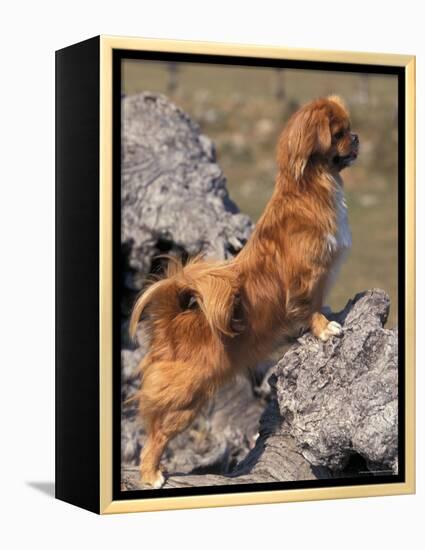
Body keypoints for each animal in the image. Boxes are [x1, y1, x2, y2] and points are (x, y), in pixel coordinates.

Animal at [129, 96, 358, 492]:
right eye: (340, 133)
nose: (357, 137)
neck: (311, 188)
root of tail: (172, 324)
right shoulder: (308, 276)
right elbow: (310, 305)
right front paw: (323, 328)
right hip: (187, 400)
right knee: (155, 435)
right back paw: (151, 474)